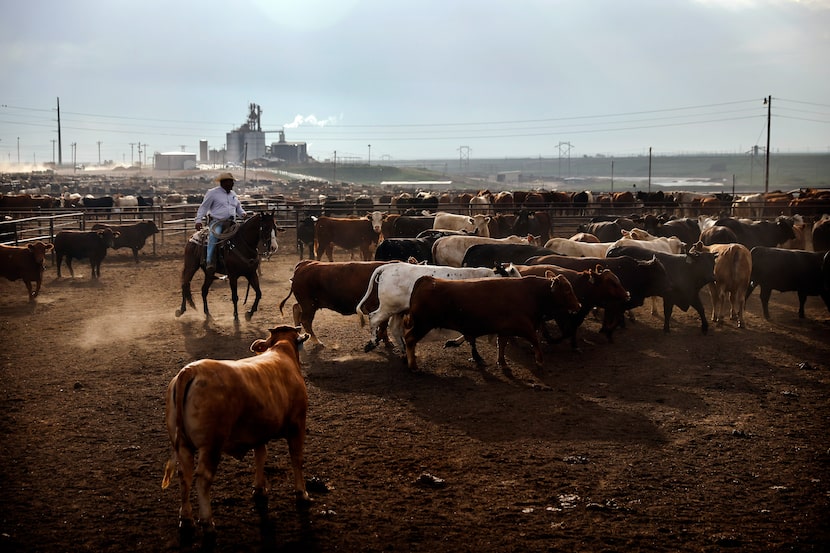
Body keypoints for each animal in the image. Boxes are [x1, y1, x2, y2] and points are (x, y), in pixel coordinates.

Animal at [161, 326, 310, 532]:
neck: (282, 349)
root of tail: (190, 370)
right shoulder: (297, 423)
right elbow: (296, 458)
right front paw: (302, 493)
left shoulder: (258, 430)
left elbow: (260, 456)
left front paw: (259, 488)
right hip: (212, 445)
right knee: (203, 478)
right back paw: (207, 521)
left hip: (182, 444)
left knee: (185, 475)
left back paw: (186, 518)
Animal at [358, 262, 520, 350]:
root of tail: (388, 267)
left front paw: (453, 342)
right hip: (389, 307)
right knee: (374, 318)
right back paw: (372, 343)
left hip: (398, 309)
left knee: (394, 327)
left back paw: (403, 349)